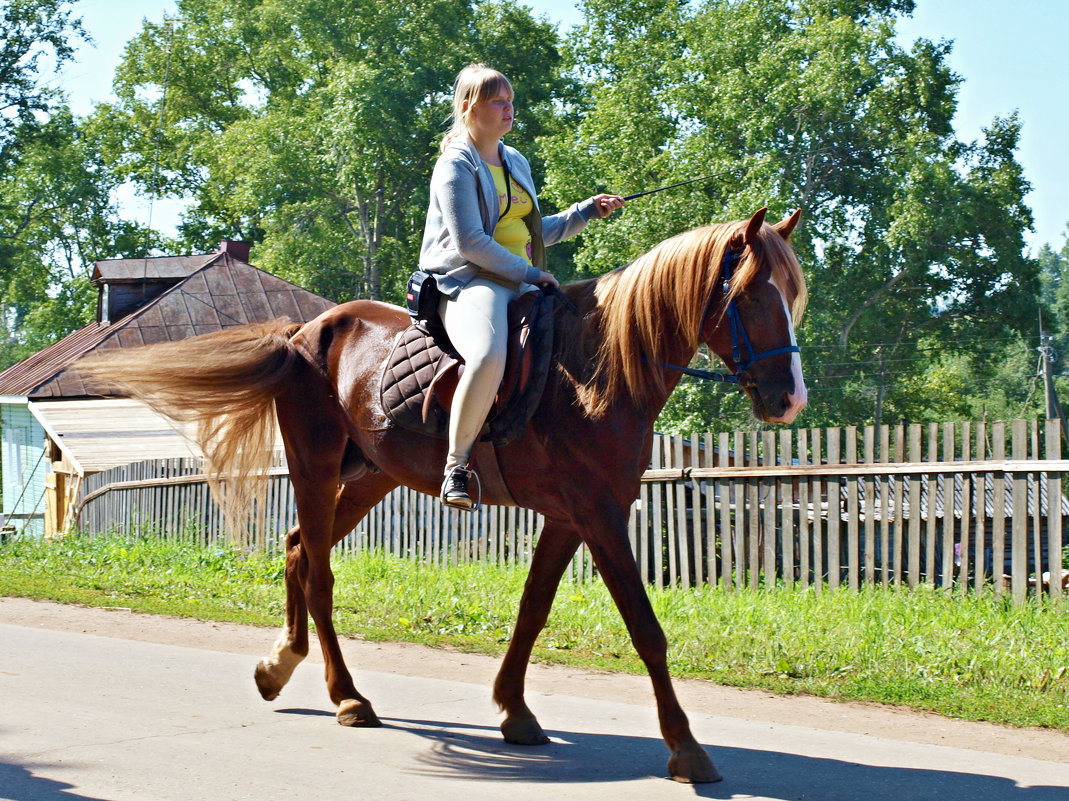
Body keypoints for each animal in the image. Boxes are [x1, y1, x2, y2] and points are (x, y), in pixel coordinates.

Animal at [79, 207, 803, 782]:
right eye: (751, 296)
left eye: (790, 297)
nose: (788, 399)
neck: (594, 372)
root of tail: (303, 333)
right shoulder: (599, 517)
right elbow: (645, 630)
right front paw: (686, 748)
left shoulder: (570, 518)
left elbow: (532, 610)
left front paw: (514, 709)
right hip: (317, 467)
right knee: (318, 574)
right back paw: (347, 696)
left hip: (370, 477)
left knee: (296, 550)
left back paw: (279, 665)